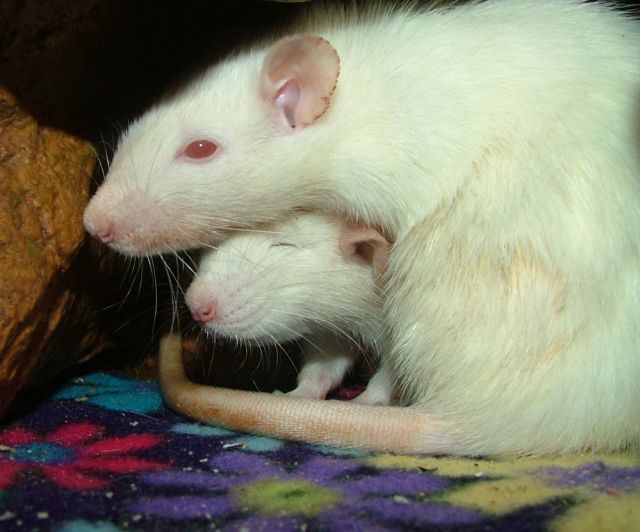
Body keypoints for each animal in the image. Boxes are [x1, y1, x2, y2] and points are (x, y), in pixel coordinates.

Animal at [185, 212, 394, 404]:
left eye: (285, 244)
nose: (197, 308)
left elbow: (392, 372)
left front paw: (366, 401)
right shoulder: (333, 327)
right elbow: (327, 359)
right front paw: (301, 393)